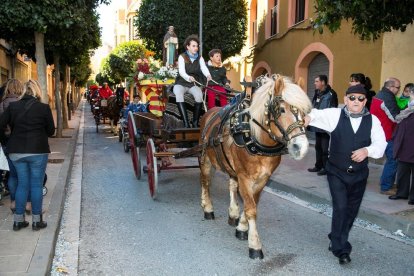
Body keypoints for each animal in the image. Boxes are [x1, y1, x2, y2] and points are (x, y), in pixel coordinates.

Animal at [199, 74, 312, 258]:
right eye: (281, 110)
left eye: (303, 112)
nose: (300, 148)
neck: (253, 135)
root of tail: (208, 112)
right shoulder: (245, 177)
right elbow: (251, 208)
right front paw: (254, 244)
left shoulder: (263, 178)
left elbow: (252, 202)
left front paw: (241, 226)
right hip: (205, 159)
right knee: (205, 182)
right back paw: (207, 208)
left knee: (231, 186)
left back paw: (233, 213)